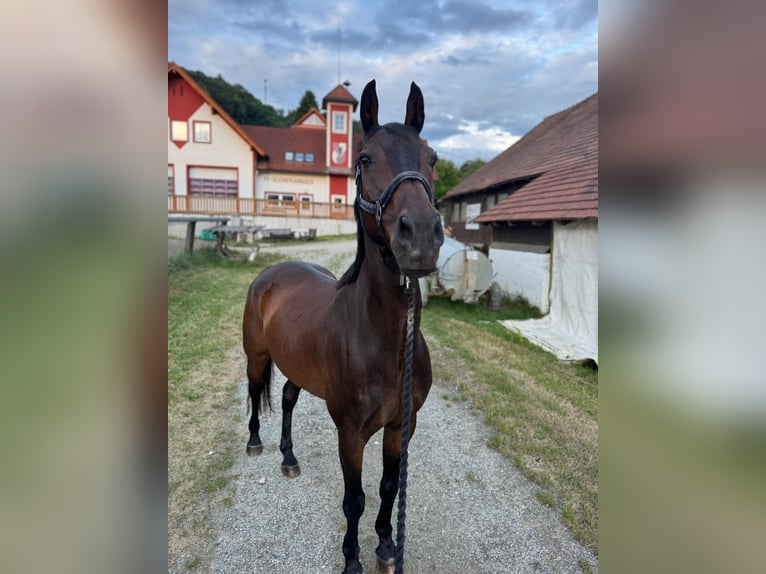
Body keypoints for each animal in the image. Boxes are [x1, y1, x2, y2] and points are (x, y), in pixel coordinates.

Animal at [242, 79, 444, 574]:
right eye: (364, 159)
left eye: (431, 158)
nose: (421, 235)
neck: (387, 344)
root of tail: (273, 271)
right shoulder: (350, 435)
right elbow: (355, 499)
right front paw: (352, 559)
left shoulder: (401, 426)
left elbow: (389, 487)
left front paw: (387, 546)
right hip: (256, 356)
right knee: (255, 393)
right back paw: (256, 442)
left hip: (295, 365)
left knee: (288, 399)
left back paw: (288, 456)